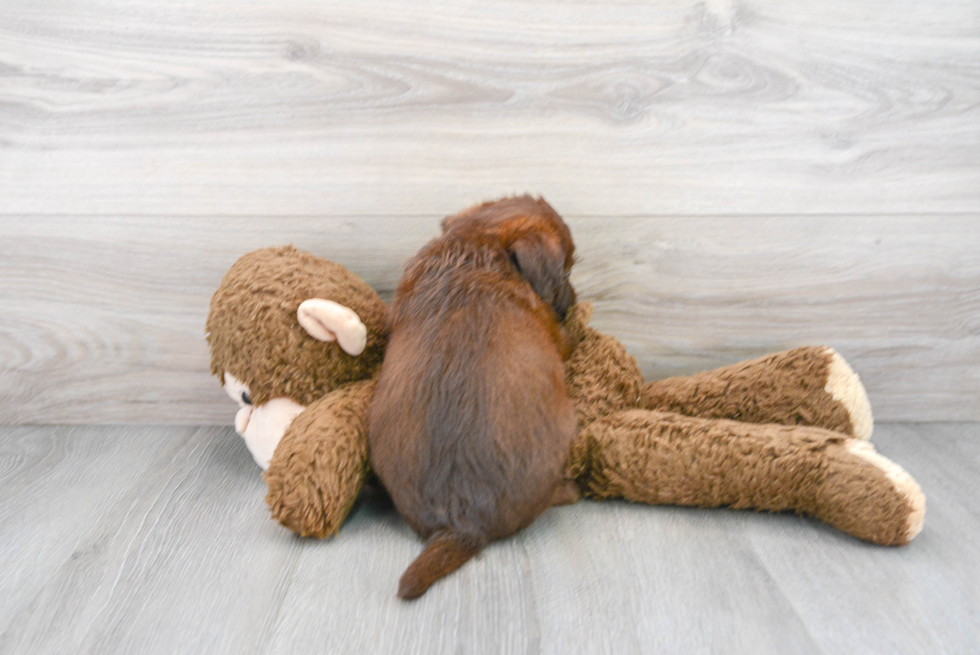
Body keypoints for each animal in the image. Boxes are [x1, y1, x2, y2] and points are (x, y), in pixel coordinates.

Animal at [372, 195, 580, 600]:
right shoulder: (556, 337)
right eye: (566, 271)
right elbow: (568, 338)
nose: (575, 300)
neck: (478, 242)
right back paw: (570, 489)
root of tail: (462, 523)